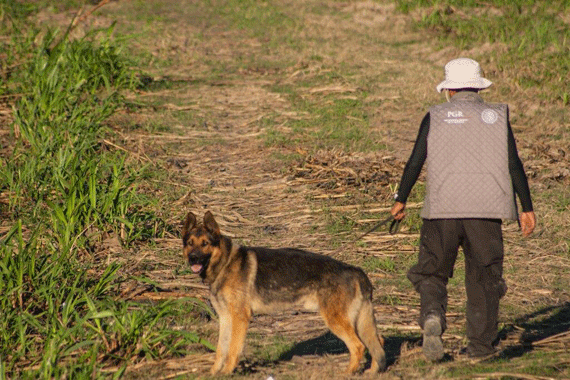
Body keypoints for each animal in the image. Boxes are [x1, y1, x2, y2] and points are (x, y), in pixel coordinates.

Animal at [182, 212, 386, 376]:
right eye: (190, 243)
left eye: (205, 244)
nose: (193, 258)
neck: (225, 263)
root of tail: (355, 270)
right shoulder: (225, 318)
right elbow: (220, 350)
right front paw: (214, 373)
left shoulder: (240, 318)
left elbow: (232, 350)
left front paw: (226, 372)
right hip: (356, 321)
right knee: (378, 341)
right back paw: (373, 371)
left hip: (336, 321)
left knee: (358, 346)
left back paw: (348, 373)